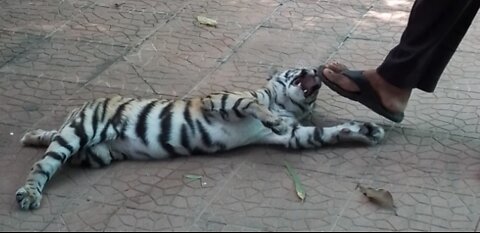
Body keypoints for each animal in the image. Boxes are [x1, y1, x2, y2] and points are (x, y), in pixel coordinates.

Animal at [14, 66, 386, 210]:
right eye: (297, 68)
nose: (314, 70)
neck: (285, 105)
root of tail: (80, 107)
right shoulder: (221, 100)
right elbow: (250, 104)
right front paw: (270, 120)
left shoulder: (297, 134)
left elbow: (326, 132)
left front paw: (366, 130)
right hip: (82, 130)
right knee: (43, 165)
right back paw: (29, 194)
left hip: (97, 153)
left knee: (59, 148)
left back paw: (34, 138)